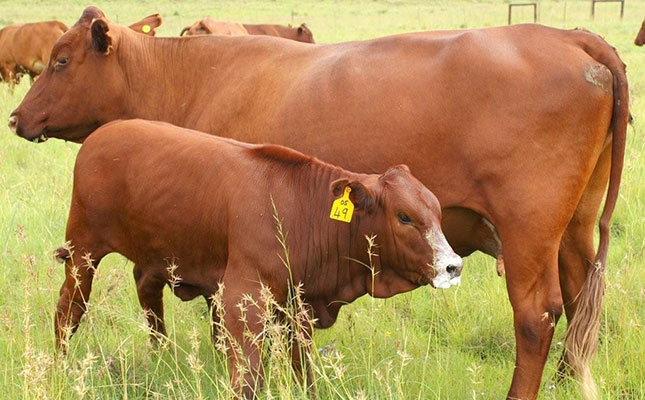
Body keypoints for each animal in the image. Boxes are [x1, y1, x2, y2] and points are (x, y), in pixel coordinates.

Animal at [53, 118, 462, 397]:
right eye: (404, 217)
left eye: (437, 211)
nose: (453, 266)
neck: (302, 210)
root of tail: (106, 131)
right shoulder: (243, 301)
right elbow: (249, 374)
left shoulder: (297, 306)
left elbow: (302, 368)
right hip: (83, 251)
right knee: (69, 309)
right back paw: (61, 363)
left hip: (154, 255)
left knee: (147, 294)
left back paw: (161, 354)